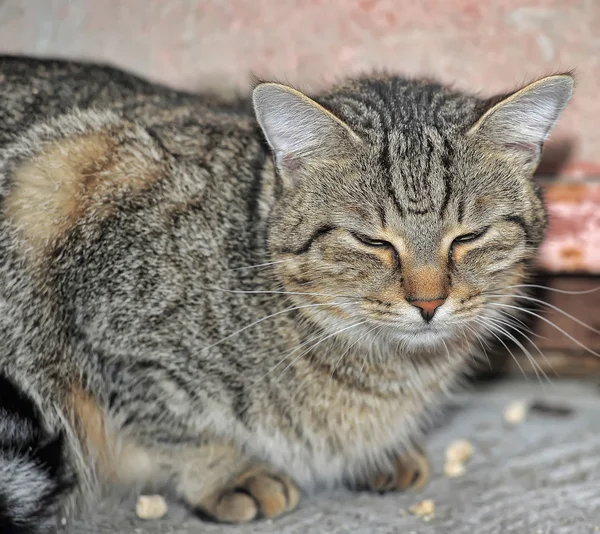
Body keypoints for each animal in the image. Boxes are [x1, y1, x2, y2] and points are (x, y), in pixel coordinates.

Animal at [0, 56, 572, 532]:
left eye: (469, 236)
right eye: (372, 241)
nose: (429, 303)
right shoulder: (106, 304)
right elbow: (168, 418)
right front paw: (226, 470)